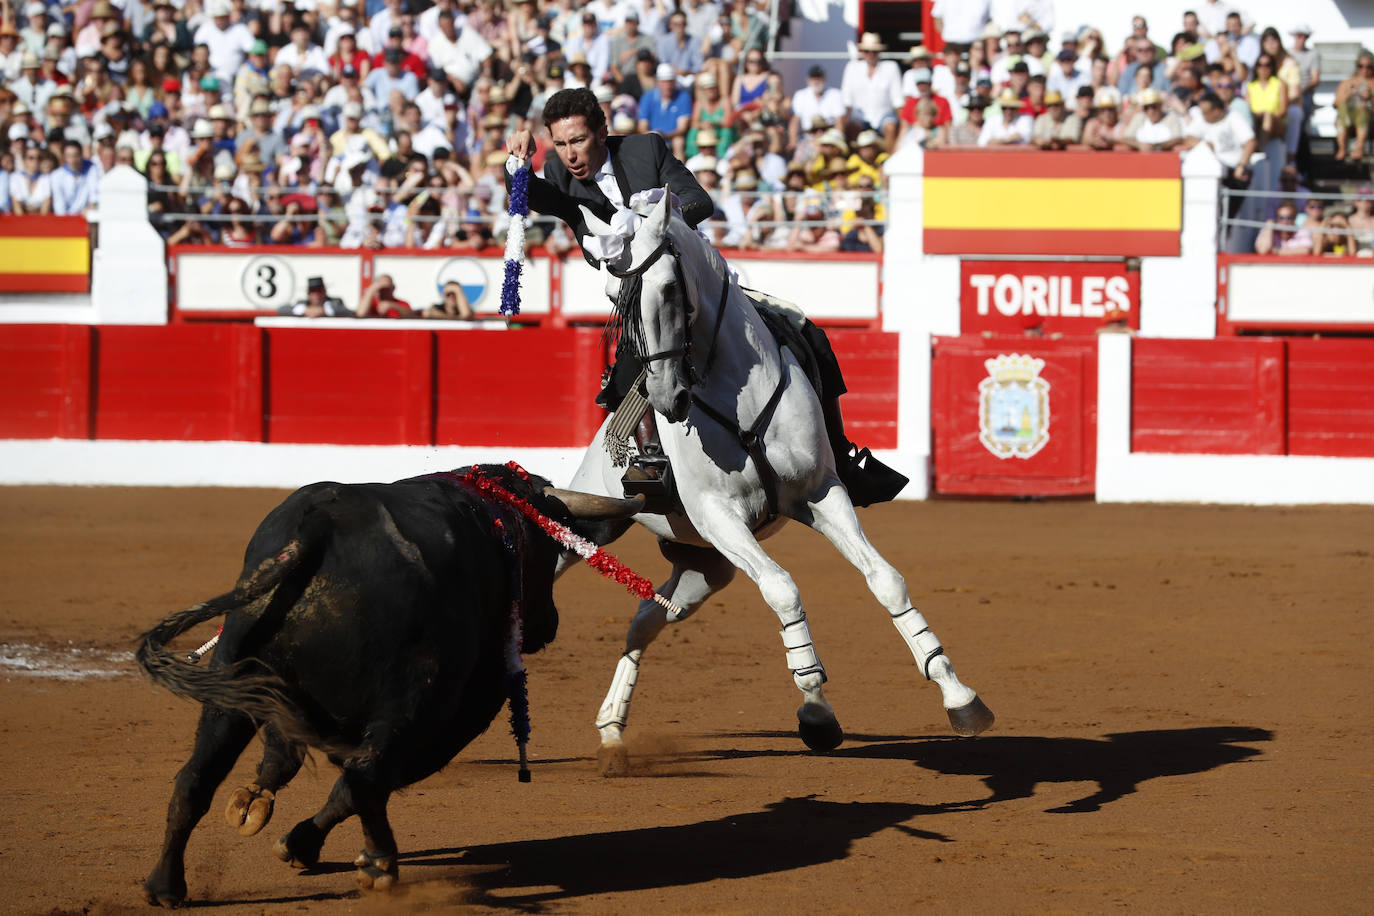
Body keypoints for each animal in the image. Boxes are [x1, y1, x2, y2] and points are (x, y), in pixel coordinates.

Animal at [133, 466, 637, 911]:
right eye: (549, 549)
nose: (549, 623)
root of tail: (318, 527)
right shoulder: (462, 712)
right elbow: (362, 783)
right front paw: (303, 843)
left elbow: (285, 761)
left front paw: (270, 815)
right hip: (414, 703)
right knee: (364, 779)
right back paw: (379, 866)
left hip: (230, 679)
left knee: (195, 777)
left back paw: (165, 886)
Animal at [552, 188, 994, 769]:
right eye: (616, 302)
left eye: (668, 287)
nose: (666, 396)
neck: (731, 391)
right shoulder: (719, 517)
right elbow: (784, 589)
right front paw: (817, 713)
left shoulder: (819, 493)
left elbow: (885, 579)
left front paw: (958, 697)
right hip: (596, 521)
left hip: (704, 566)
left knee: (648, 616)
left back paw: (612, 730)